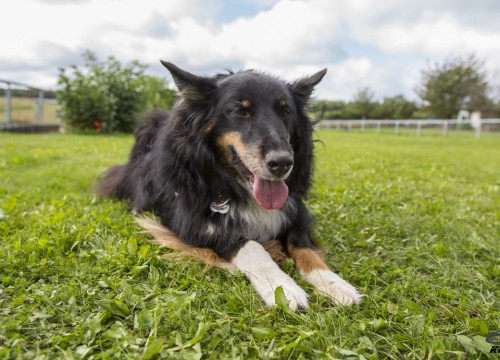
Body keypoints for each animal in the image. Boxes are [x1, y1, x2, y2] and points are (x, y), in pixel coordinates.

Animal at [95, 61, 364, 310]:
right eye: (239, 110)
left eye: (286, 111)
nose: (283, 163)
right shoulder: (192, 225)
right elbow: (250, 245)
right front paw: (281, 286)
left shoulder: (296, 213)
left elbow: (303, 246)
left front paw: (333, 282)